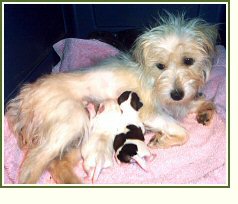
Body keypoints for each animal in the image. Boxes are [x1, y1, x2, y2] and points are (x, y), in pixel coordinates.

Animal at [5, 13, 218, 184]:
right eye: (160, 66)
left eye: (188, 61)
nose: (176, 94)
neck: (152, 78)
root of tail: (25, 95)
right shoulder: (150, 112)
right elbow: (184, 133)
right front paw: (161, 140)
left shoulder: (180, 103)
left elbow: (204, 102)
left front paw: (205, 112)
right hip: (72, 121)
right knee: (31, 166)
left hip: (81, 135)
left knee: (57, 163)